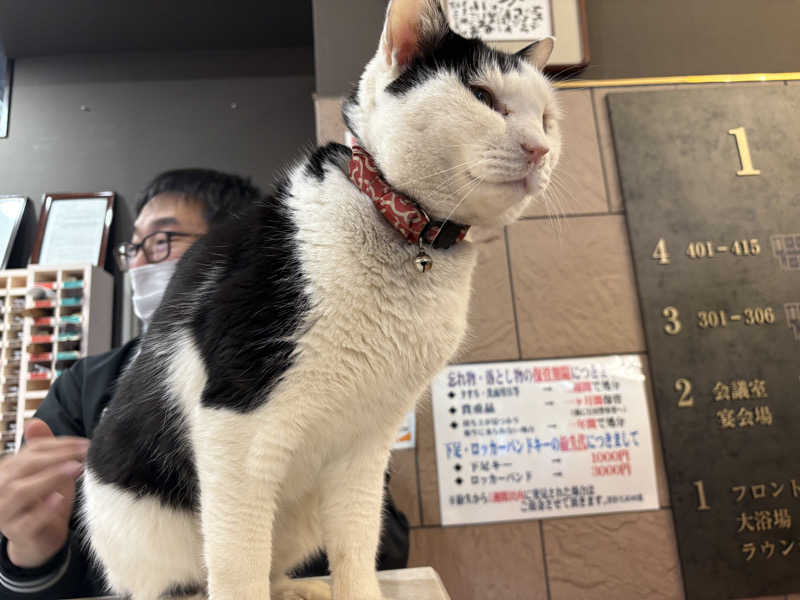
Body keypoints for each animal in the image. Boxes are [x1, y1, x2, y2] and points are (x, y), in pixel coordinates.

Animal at [83, 1, 564, 600]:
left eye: (547, 118)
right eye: (482, 96)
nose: (540, 150)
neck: (408, 235)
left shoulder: (367, 446)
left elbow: (355, 545)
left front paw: (355, 591)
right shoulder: (234, 427)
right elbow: (238, 568)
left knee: (273, 566)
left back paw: (298, 588)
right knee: (195, 577)